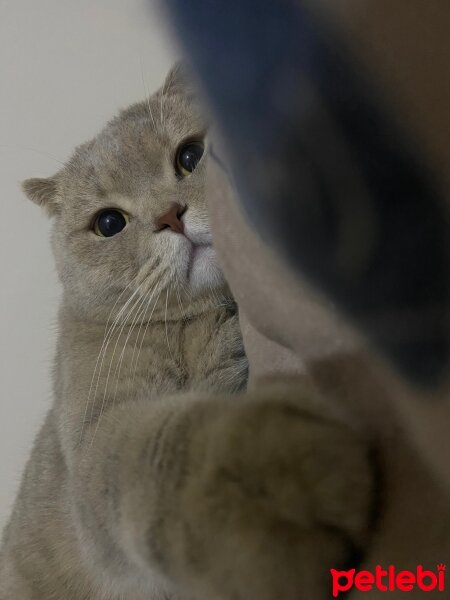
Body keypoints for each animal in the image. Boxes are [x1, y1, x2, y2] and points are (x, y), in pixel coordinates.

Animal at [0, 67, 372, 600]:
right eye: (109, 223)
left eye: (190, 156)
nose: (170, 215)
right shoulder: (99, 430)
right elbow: (162, 447)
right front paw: (270, 485)